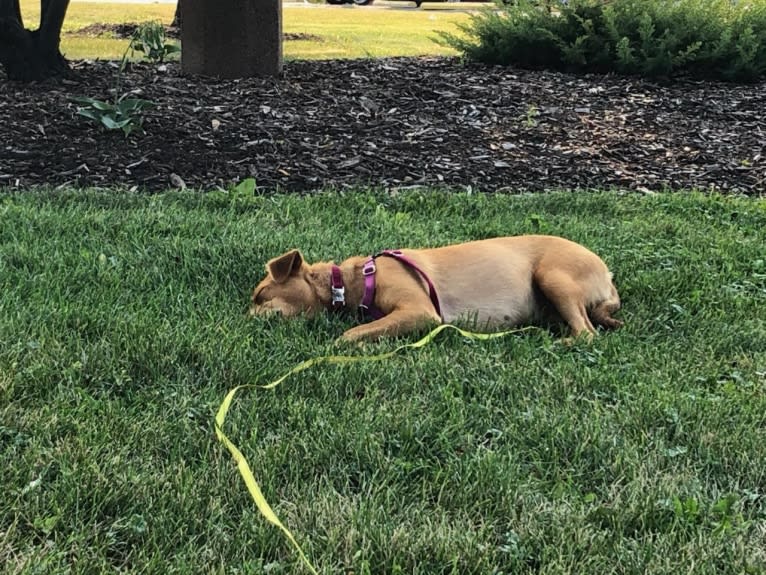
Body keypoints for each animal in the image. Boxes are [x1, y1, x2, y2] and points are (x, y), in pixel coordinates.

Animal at [252, 235, 624, 342]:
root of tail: (608, 275)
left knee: (587, 333)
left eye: (260, 296)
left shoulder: (420, 312)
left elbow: (352, 333)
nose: (246, 318)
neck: (357, 279)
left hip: (553, 276)